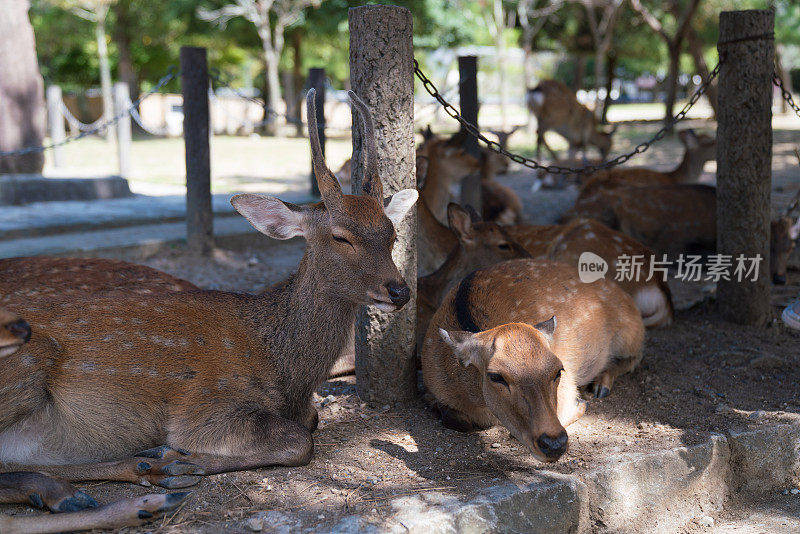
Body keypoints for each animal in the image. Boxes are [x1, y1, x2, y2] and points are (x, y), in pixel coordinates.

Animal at [0, 91, 418, 516]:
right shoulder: (204, 404)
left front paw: (167, 460)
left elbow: (312, 422)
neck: (284, 371)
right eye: (340, 237)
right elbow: (301, 440)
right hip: (24, 359)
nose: (400, 290)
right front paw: (183, 456)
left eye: (391, 232)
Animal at [418, 258, 644, 462]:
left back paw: (601, 386)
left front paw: (581, 404)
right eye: (496, 376)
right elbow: (453, 419)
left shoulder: (567, 387)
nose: (554, 444)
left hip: (630, 332)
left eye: (559, 370)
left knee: (635, 357)